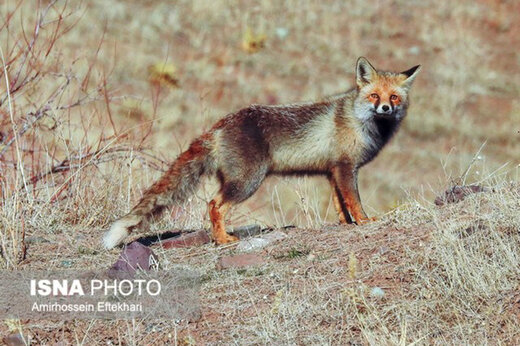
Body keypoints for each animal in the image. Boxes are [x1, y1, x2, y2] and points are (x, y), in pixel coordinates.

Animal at [103, 57, 420, 249]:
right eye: (374, 96)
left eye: (394, 97)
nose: (385, 108)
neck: (359, 120)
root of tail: (218, 126)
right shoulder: (345, 167)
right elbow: (355, 201)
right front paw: (365, 222)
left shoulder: (333, 171)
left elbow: (340, 204)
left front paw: (346, 224)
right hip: (247, 182)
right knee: (214, 204)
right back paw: (223, 239)